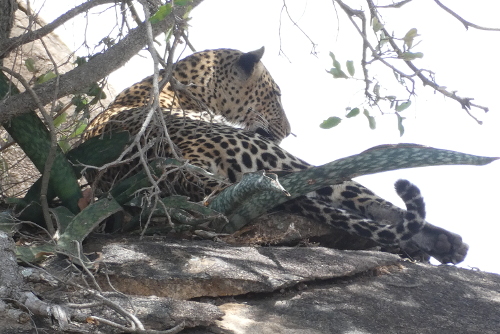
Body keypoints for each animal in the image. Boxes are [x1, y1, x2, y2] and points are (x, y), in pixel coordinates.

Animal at [82, 47, 468, 264]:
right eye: (277, 94)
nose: (288, 129)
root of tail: (179, 169)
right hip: (280, 159)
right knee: (367, 199)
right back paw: (441, 241)